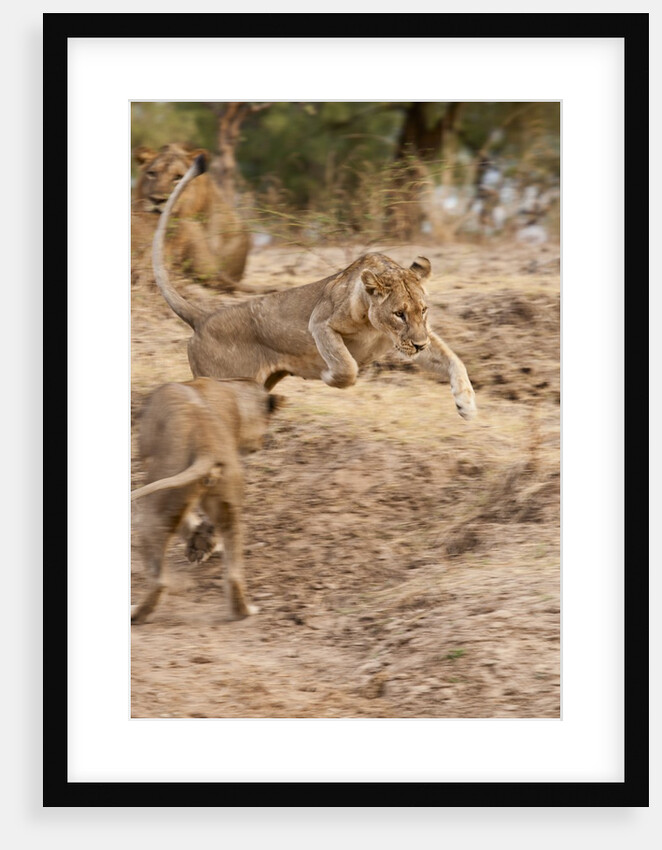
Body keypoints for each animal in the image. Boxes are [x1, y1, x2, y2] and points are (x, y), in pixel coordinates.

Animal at [131, 377, 284, 624]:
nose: (261, 444)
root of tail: (207, 447)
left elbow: (187, 522)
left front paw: (198, 543)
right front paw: (204, 543)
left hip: (153, 509)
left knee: (160, 579)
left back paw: (135, 614)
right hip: (229, 506)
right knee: (233, 573)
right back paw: (243, 611)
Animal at [152, 154, 477, 420]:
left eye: (424, 310)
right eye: (399, 313)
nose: (419, 345)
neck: (377, 326)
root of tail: (203, 318)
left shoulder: (416, 338)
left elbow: (453, 359)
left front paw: (467, 404)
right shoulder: (321, 322)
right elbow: (347, 365)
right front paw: (329, 375)